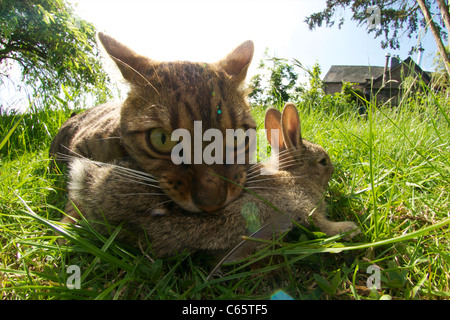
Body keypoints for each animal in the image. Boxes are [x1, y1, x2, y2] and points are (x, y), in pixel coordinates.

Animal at [62, 103, 358, 260]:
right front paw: (350, 229)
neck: (294, 176)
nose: (333, 168)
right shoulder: (305, 208)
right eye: (323, 161)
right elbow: (324, 226)